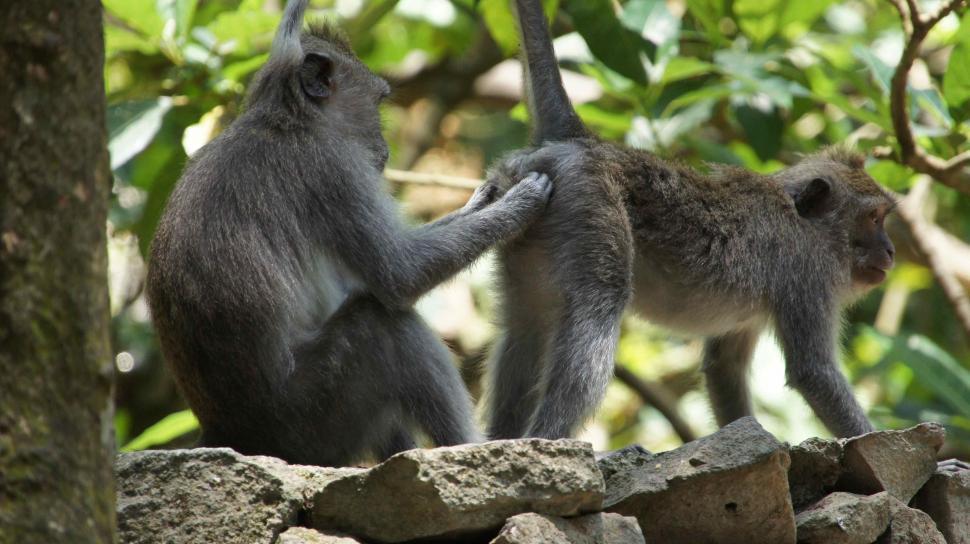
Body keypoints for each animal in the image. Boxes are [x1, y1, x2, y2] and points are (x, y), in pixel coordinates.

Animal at [145, 0, 553, 467]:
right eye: (377, 103)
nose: (386, 145)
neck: (287, 119)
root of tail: (229, 434)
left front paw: (483, 200)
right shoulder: (334, 168)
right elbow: (399, 276)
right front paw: (520, 204)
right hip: (311, 423)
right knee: (382, 327)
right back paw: (471, 447)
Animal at [482, 0, 897, 442]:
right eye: (873, 217)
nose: (890, 250)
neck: (802, 219)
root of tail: (581, 143)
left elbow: (724, 367)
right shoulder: (809, 274)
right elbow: (814, 373)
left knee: (525, 327)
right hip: (591, 202)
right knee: (598, 310)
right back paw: (548, 442)